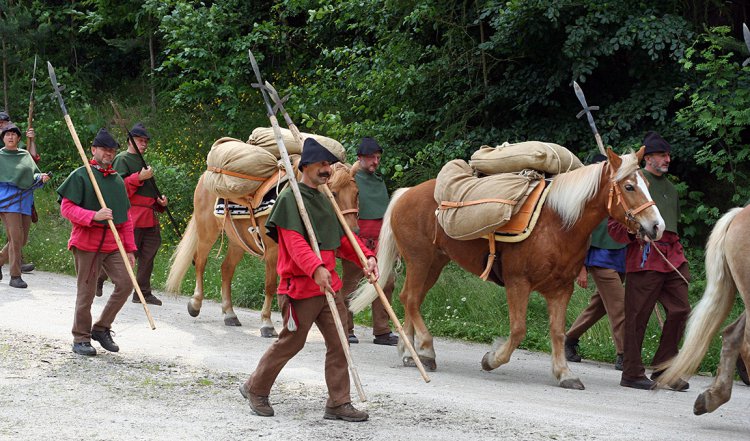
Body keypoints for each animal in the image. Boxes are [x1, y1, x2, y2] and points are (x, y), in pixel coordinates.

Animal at [167, 162, 362, 336]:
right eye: (334, 193)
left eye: (357, 193)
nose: (353, 231)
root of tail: (204, 177)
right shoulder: (273, 253)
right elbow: (270, 286)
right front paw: (267, 324)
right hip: (208, 232)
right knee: (200, 262)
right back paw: (195, 303)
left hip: (238, 242)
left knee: (226, 269)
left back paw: (229, 313)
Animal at [350, 146, 668, 386]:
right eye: (629, 186)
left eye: (648, 185)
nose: (657, 226)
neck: (558, 222)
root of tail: (406, 193)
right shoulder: (518, 283)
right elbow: (518, 330)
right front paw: (492, 360)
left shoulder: (561, 289)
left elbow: (557, 332)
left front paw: (564, 373)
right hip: (420, 260)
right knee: (412, 300)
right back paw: (426, 350)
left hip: (434, 264)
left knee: (410, 300)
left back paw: (409, 352)